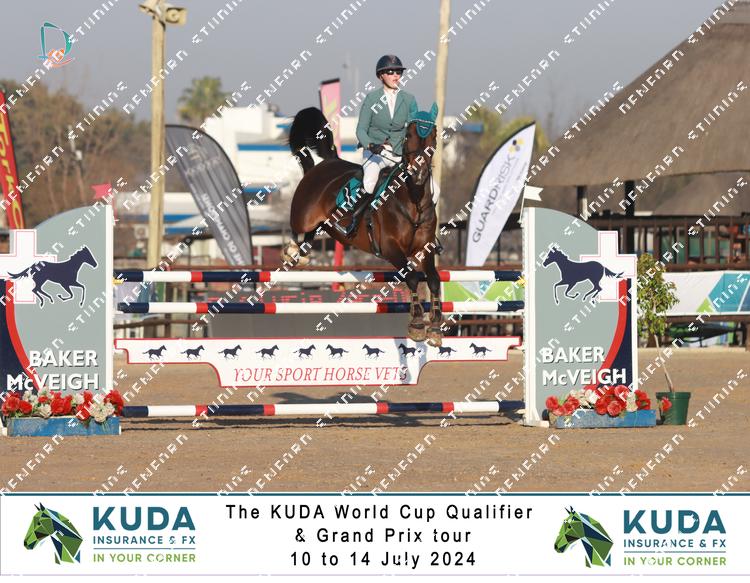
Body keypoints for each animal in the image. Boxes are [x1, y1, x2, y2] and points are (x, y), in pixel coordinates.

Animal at [282, 104, 444, 346]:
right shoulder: (390, 247)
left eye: (433, 136)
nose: (419, 173)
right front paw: (416, 324)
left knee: (312, 234)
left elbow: (433, 279)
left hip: (325, 225)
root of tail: (328, 162)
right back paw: (292, 250)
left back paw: (302, 253)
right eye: (408, 136)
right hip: (303, 215)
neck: (412, 199)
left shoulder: (425, 248)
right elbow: (413, 277)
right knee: (297, 227)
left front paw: (434, 327)